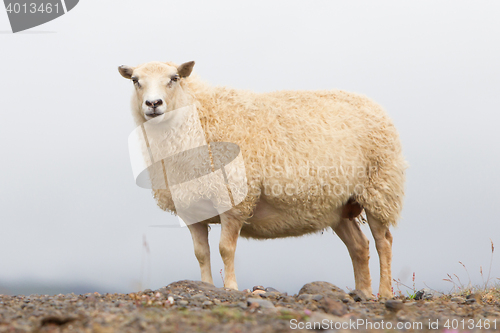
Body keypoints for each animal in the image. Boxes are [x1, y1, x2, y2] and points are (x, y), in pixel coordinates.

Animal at [119, 60, 408, 298]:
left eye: (174, 78)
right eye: (135, 80)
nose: (153, 104)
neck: (195, 121)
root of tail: (371, 103)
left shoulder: (234, 199)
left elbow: (225, 249)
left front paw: (231, 288)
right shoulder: (191, 208)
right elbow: (201, 253)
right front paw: (207, 287)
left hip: (379, 189)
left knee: (383, 242)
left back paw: (384, 293)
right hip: (338, 206)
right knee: (359, 246)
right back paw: (363, 292)